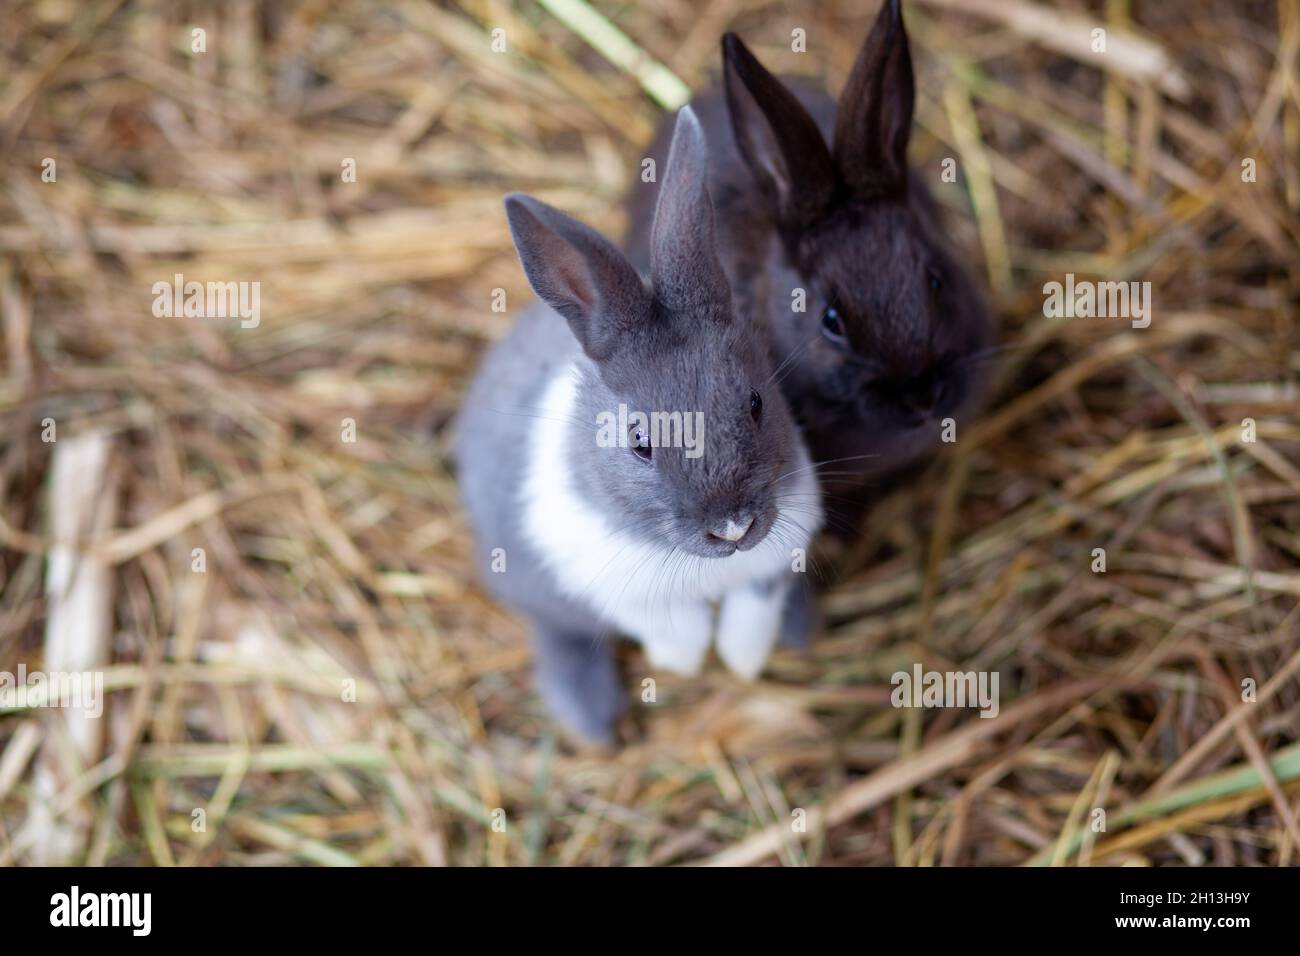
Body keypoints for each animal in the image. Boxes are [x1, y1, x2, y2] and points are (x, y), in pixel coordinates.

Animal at [455, 107, 824, 745]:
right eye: (640, 443)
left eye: (755, 403)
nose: (733, 527)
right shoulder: (609, 584)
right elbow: (671, 626)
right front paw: (688, 660)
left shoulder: (781, 548)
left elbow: (753, 608)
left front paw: (742, 660)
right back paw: (596, 719)